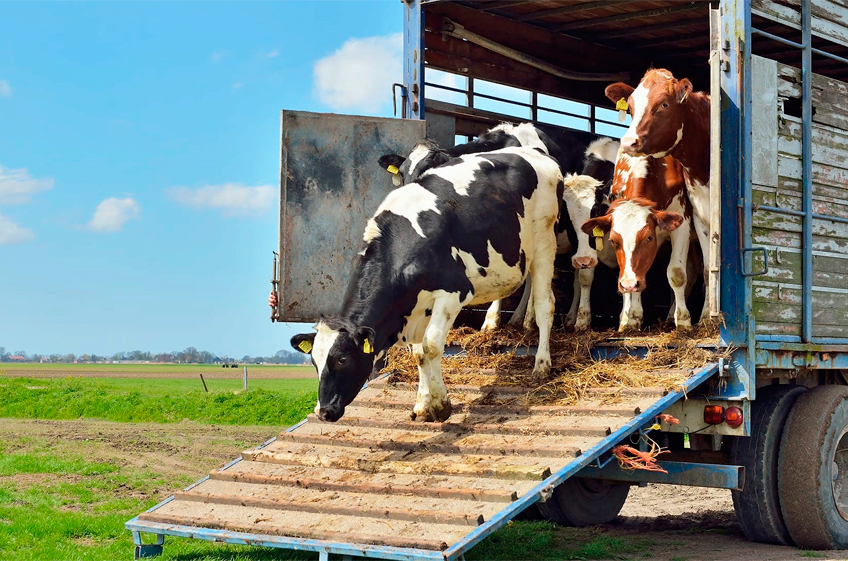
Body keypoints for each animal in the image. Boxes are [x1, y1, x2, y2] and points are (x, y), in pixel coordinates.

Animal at [292, 147, 564, 422]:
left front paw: (442, 405)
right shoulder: (416, 307)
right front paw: (423, 404)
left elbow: (431, 346)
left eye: (342, 359)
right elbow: (419, 354)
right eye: (314, 362)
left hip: (544, 241)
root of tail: (534, 152)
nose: (323, 411)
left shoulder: (453, 292)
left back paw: (542, 364)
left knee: (545, 305)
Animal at [580, 151, 692, 330]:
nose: (629, 284)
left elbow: (677, 273)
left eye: (649, 238)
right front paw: (631, 317)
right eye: (613, 241)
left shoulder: (682, 221)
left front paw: (683, 320)